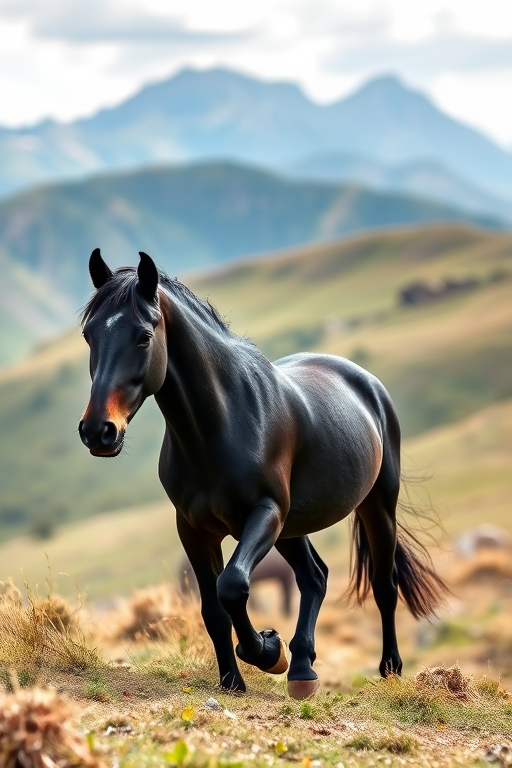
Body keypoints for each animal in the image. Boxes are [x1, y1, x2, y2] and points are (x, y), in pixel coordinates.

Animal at [78, 249, 446, 699]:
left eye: (143, 337)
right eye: (89, 336)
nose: (98, 431)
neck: (219, 426)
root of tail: (366, 383)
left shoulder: (264, 512)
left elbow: (233, 585)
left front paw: (269, 651)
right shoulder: (194, 529)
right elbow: (213, 608)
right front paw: (234, 680)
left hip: (375, 507)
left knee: (383, 585)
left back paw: (389, 669)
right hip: (291, 526)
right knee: (314, 576)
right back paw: (303, 668)